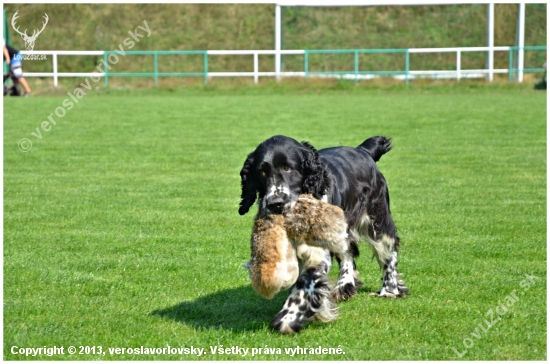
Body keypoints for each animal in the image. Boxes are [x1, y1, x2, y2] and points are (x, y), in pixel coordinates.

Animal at [240, 136, 410, 332]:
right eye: (261, 172)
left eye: (288, 168)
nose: (275, 203)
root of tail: (363, 151)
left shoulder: (317, 252)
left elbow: (306, 282)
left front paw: (289, 318)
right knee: (347, 253)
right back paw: (345, 285)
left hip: (377, 219)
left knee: (389, 251)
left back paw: (389, 290)